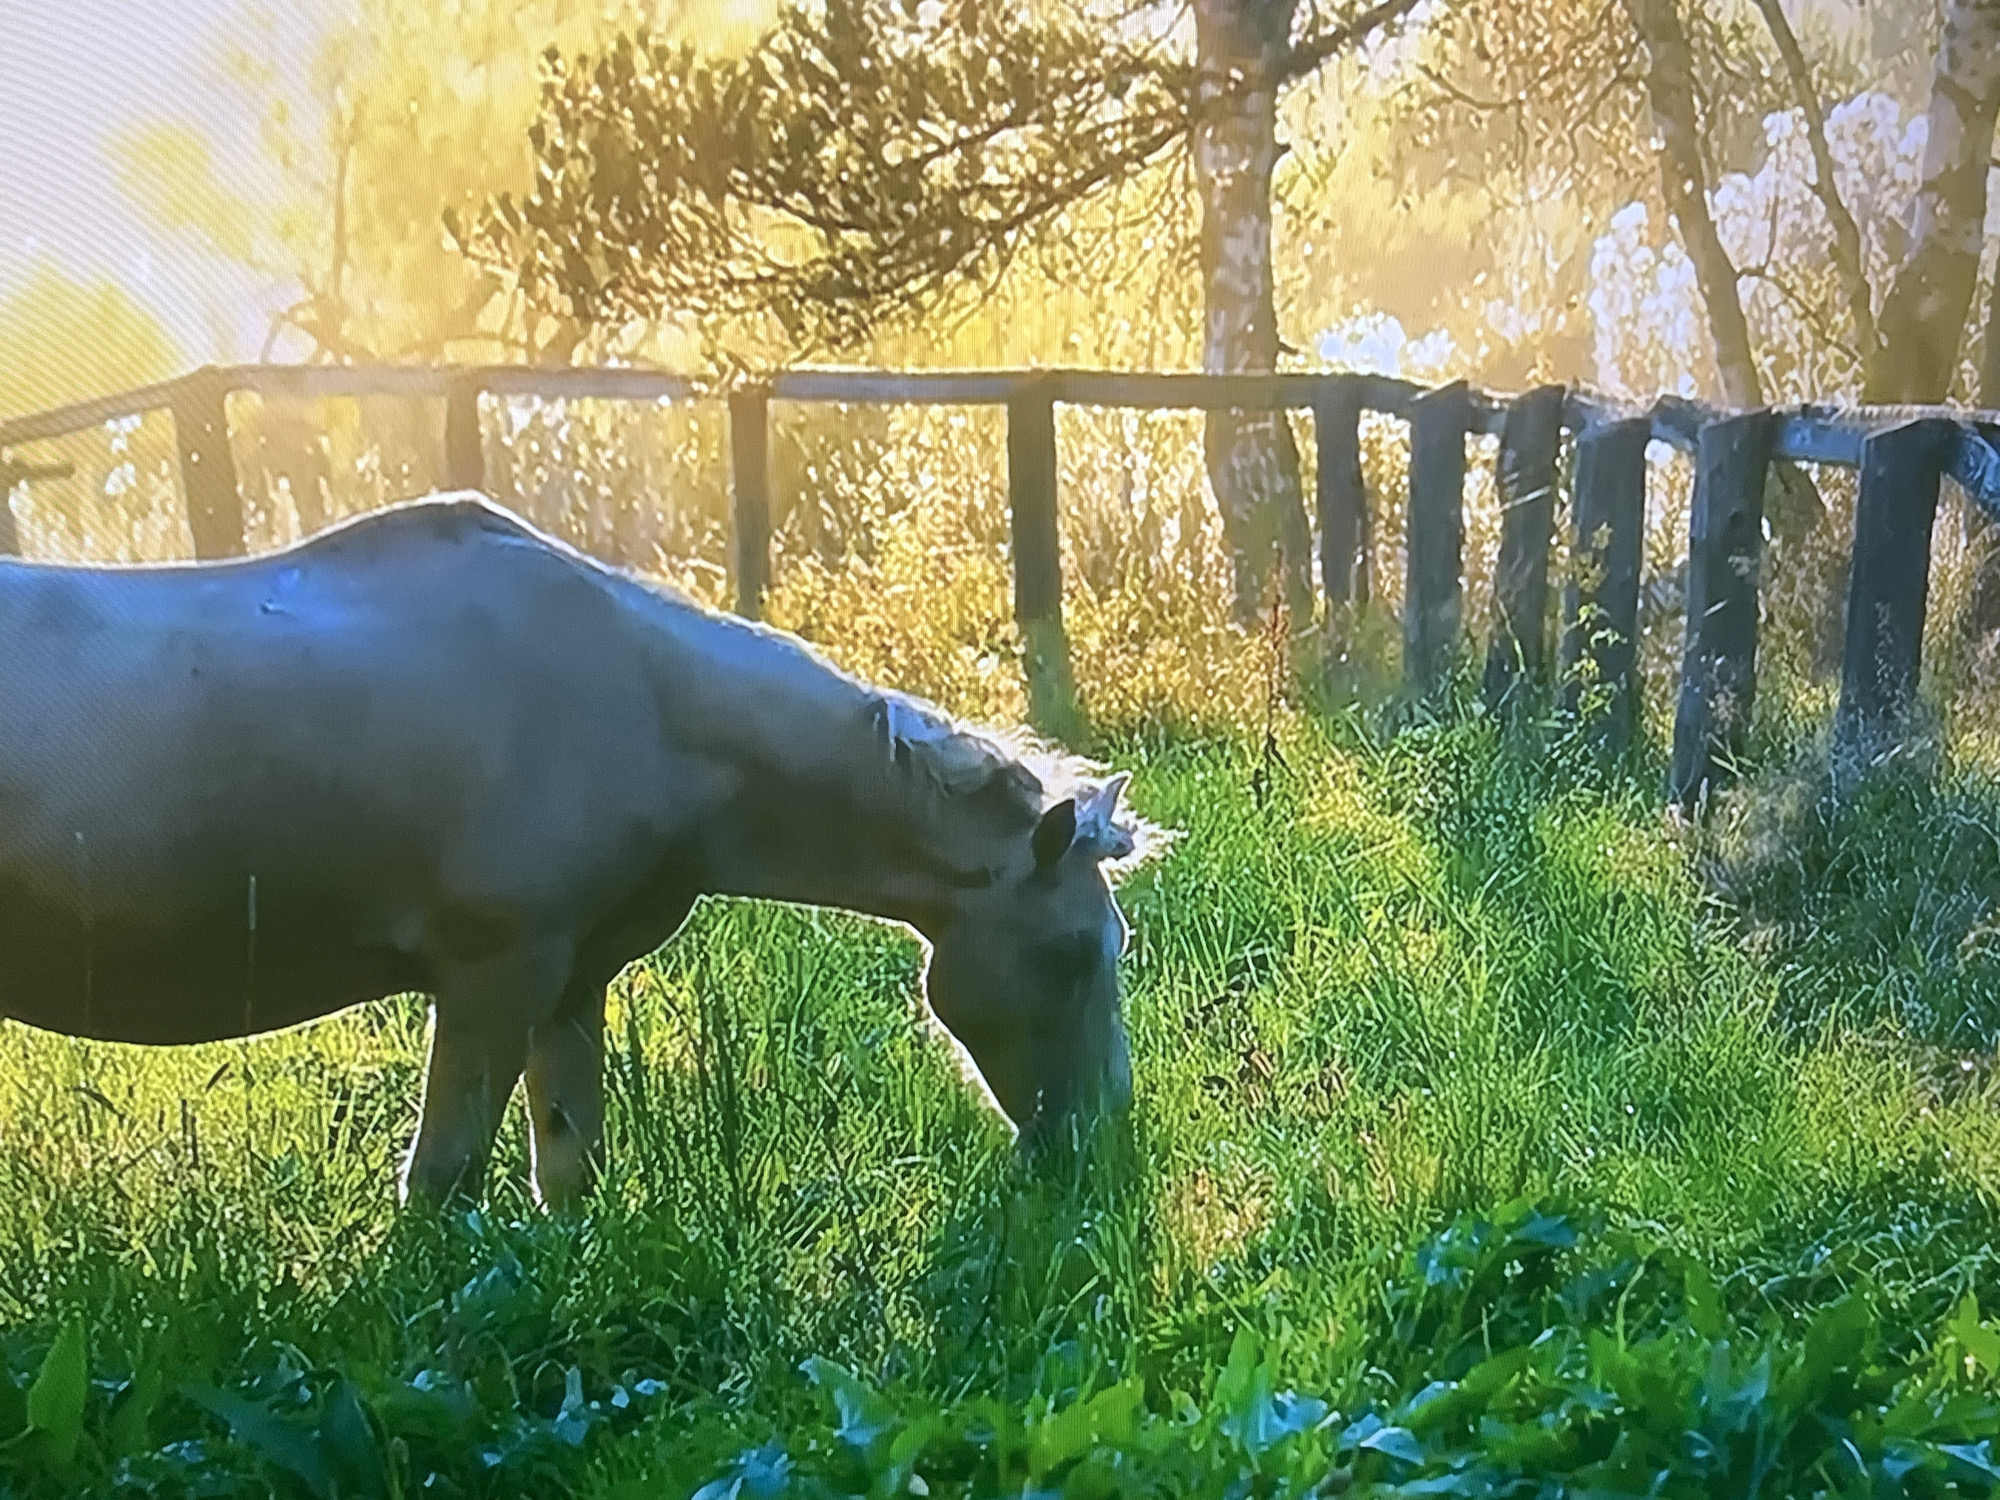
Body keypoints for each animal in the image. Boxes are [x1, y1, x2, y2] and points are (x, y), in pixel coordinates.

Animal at [0, 493, 1150, 1206]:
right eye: (1069, 955)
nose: (1099, 1142)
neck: (643, 704)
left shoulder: (570, 982)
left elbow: (568, 1168)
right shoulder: (491, 977)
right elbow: (444, 1182)